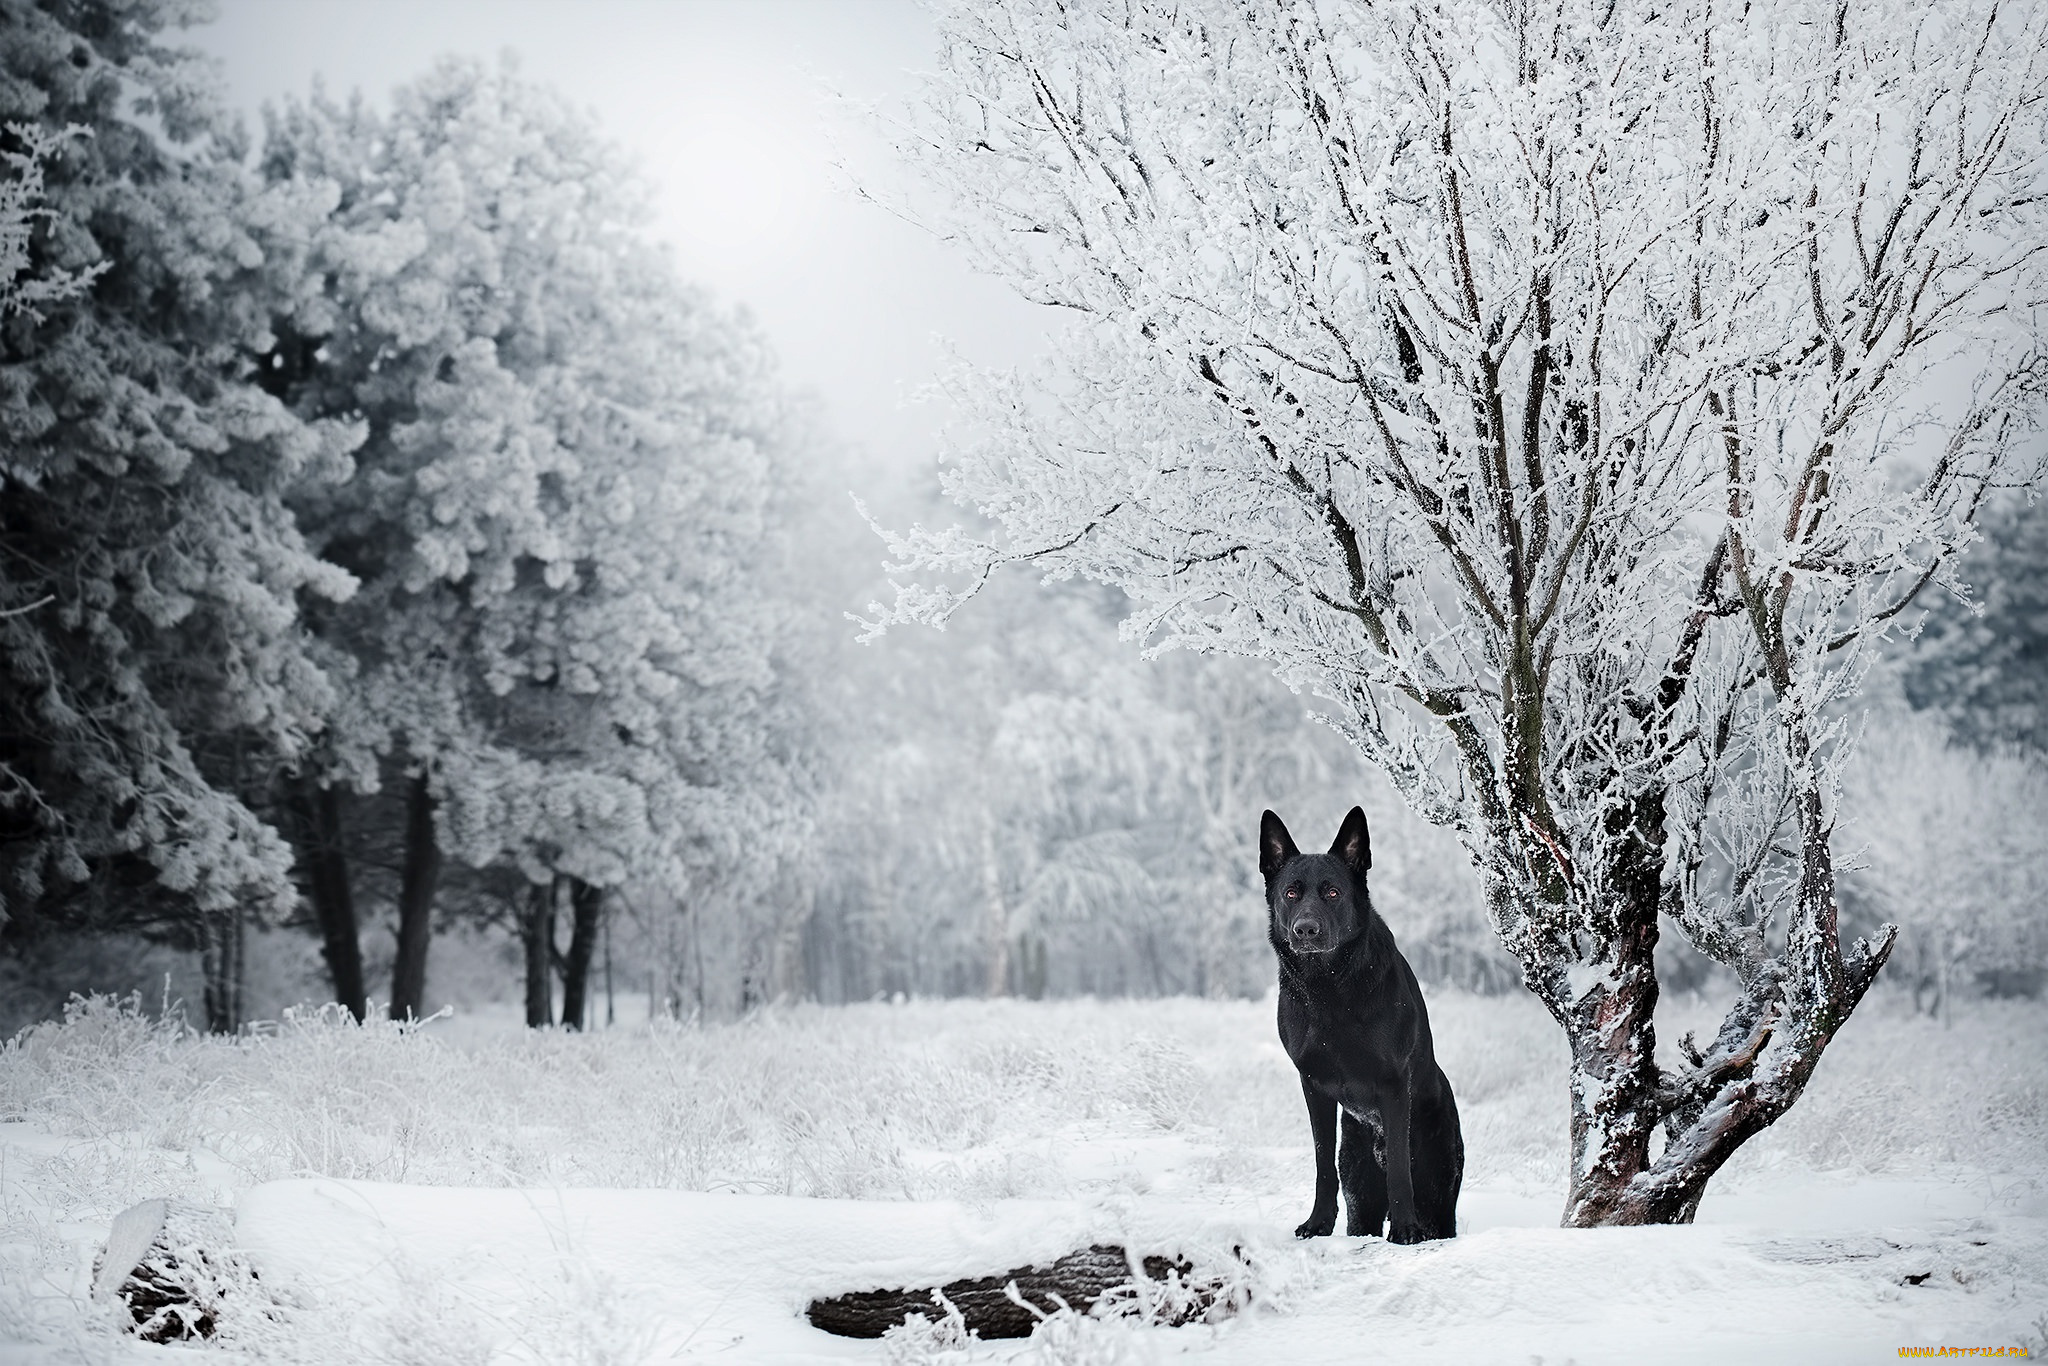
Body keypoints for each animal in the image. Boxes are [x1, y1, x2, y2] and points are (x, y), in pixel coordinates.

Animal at [1253, 806, 1466, 1245]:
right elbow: (1322, 1165)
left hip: (1439, 1197)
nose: (1306, 930)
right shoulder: (1313, 1086)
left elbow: (1400, 1170)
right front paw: (1317, 1223)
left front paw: (1404, 1230)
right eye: (1291, 893)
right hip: (1359, 1190)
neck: (1329, 987)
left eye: (1333, 892)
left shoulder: (1392, 1083)